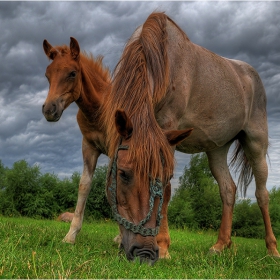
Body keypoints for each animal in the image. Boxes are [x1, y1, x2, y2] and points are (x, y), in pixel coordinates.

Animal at [41, 36, 191, 258]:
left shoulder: (116, 149)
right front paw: (70, 235)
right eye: (47, 74)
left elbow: (112, 187)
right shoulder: (89, 146)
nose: (49, 110)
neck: (98, 109)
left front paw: (123, 238)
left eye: (72, 73)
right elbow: (85, 186)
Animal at [103, 11, 280, 264]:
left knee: (262, 194)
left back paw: (272, 249)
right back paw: (221, 245)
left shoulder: (168, 128)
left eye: (165, 175)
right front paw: (121, 240)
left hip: (256, 144)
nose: (145, 253)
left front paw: (164, 247)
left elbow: (167, 192)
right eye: (123, 174)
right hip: (217, 149)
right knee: (228, 190)